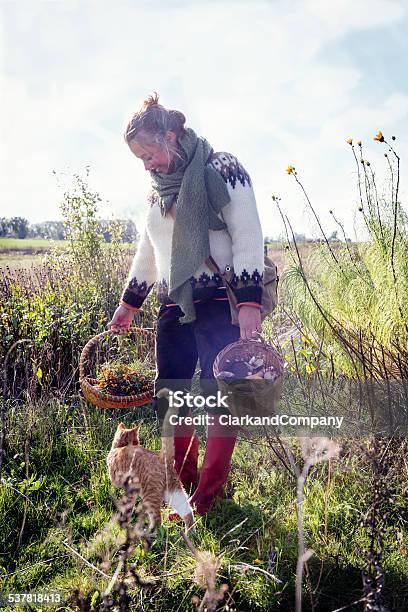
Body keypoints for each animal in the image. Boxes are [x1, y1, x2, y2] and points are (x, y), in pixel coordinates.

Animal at [105, 394, 194, 532]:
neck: (121, 446)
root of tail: (162, 458)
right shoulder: (132, 491)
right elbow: (128, 508)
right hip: (175, 492)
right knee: (188, 511)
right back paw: (191, 533)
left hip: (150, 497)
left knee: (157, 519)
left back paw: (148, 533)